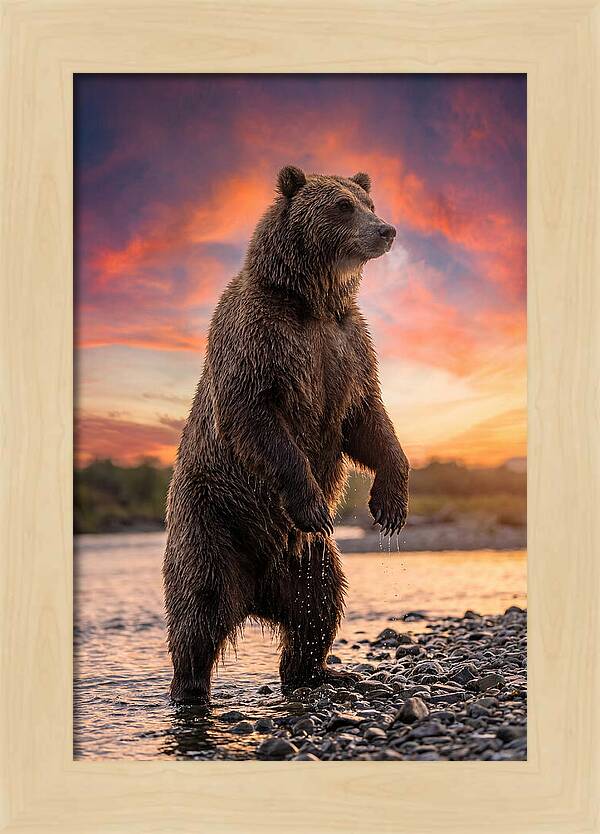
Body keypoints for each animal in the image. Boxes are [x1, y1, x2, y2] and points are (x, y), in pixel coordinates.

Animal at [163, 165, 410, 704]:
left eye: (368, 201)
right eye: (342, 206)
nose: (386, 230)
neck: (312, 302)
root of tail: (255, 593)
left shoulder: (347, 347)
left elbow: (367, 420)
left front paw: (390, 504)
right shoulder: (261, 339)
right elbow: (256, 417)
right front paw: (314, 502)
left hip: (307, 559)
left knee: (319, 603)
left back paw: (321, 672)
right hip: (212, 520)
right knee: (200, 606)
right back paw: (189, 689)